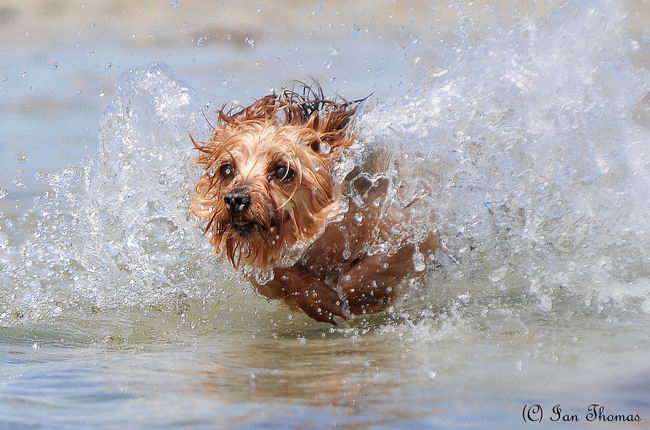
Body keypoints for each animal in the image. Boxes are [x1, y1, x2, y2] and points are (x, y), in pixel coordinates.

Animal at [190, 84, 438, 324]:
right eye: (226, 170)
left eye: (282, 170)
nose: (235, 199)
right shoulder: (260, 267)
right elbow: (281, 271)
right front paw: (318, 298)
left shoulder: (404, 225)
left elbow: (378, 265)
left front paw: (356, 293)